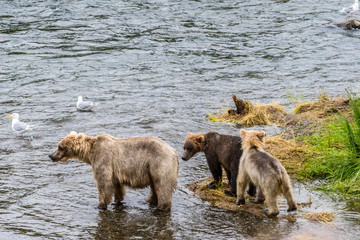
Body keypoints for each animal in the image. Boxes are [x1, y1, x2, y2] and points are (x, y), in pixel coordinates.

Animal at [49, 131, 179, 212]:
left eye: (60, 146)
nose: (50, 155)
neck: (89, 154)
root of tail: (174, 152)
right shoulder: (115, 172)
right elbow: (117, 188)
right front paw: (117, 201)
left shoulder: (103, 159)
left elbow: (104, 184)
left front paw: (100, 205)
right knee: (154, 188)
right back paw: (148, 202)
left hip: (159, 163)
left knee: (162, 186)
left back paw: (161, 208)